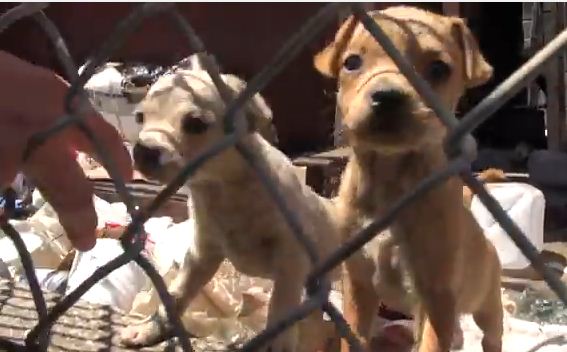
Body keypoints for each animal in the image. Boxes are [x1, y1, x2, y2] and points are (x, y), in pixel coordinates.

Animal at [318, 5, 504, 352]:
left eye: (438, 69)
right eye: (352, 62)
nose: (387, 96)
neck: (390, 179)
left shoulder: (437, 295)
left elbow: (431, 344)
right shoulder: (358, 283)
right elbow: (354, 334)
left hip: (487, 305)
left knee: (491, 336)